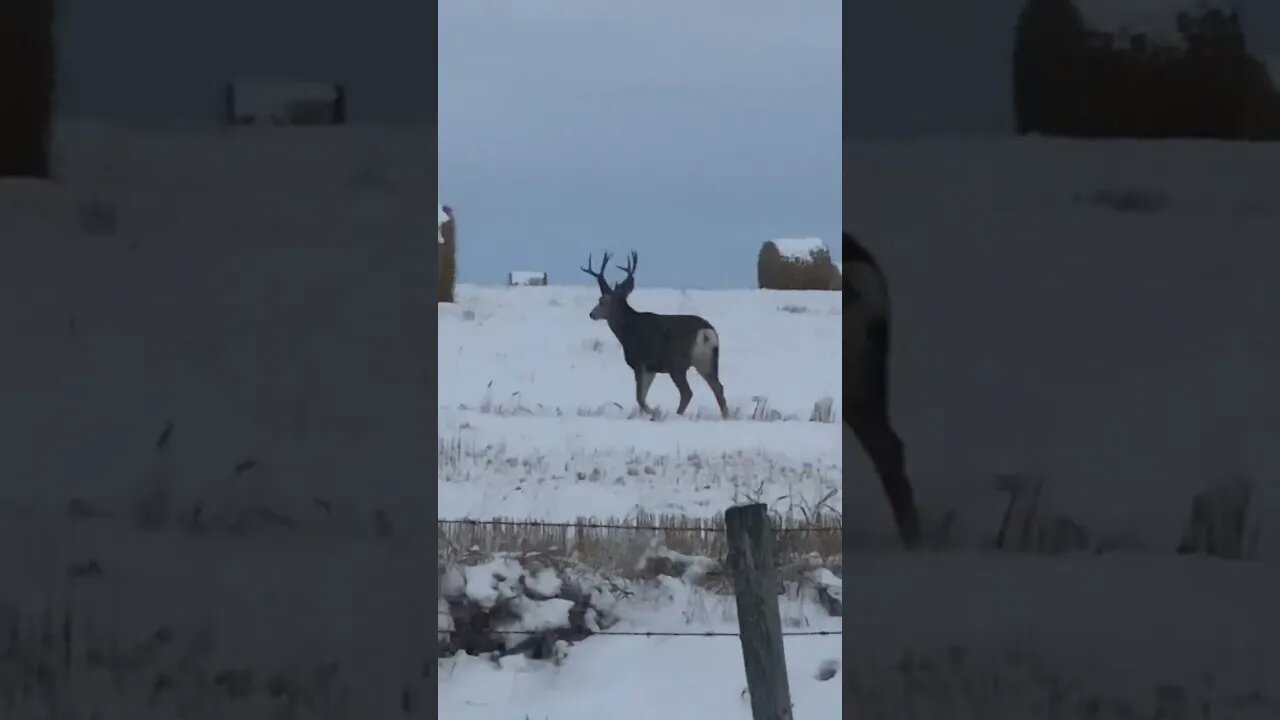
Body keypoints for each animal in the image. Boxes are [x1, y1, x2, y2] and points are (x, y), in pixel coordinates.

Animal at [583, 252, 732, 420]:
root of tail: (706, 331)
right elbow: (642, 395)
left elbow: (639, 397)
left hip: (677, 363)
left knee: (687, 392)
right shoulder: (651, 369)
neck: (627, 331)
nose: (592, 314)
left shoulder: (639, 362)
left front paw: (654, 412)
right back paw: (726, 416)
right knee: (718, 387)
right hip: (708, 360)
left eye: (602, 301)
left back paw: (676, 415)